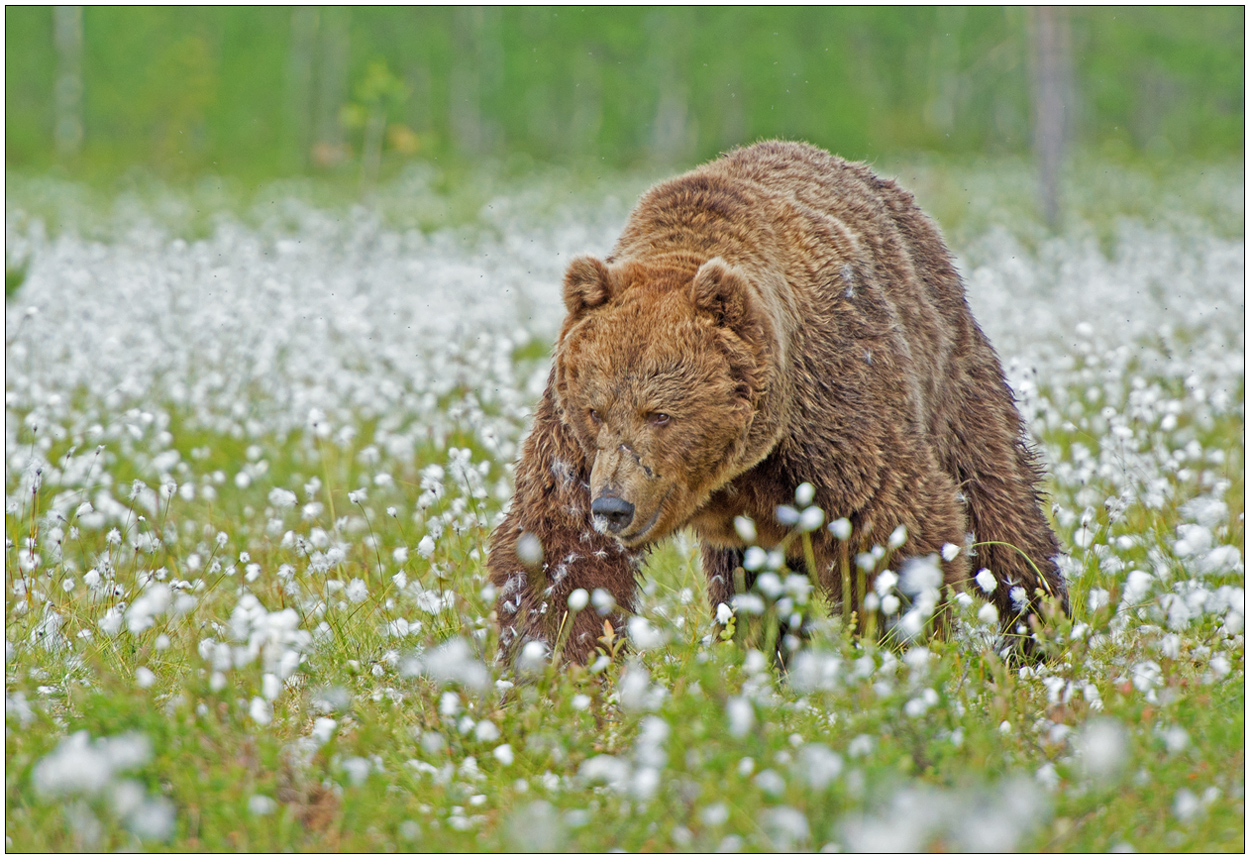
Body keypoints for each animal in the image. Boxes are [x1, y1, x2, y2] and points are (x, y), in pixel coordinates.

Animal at [485, 139, 1065, 665]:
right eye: (596, 410)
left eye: (661, 413)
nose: (612, 506)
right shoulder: (573, 440)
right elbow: (558, 549)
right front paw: (553, 667)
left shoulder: (835, 402)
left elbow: (894, 527)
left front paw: (903, 652)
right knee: (748, 587)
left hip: (947, 365)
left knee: (998, 502)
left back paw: (1036, 632)